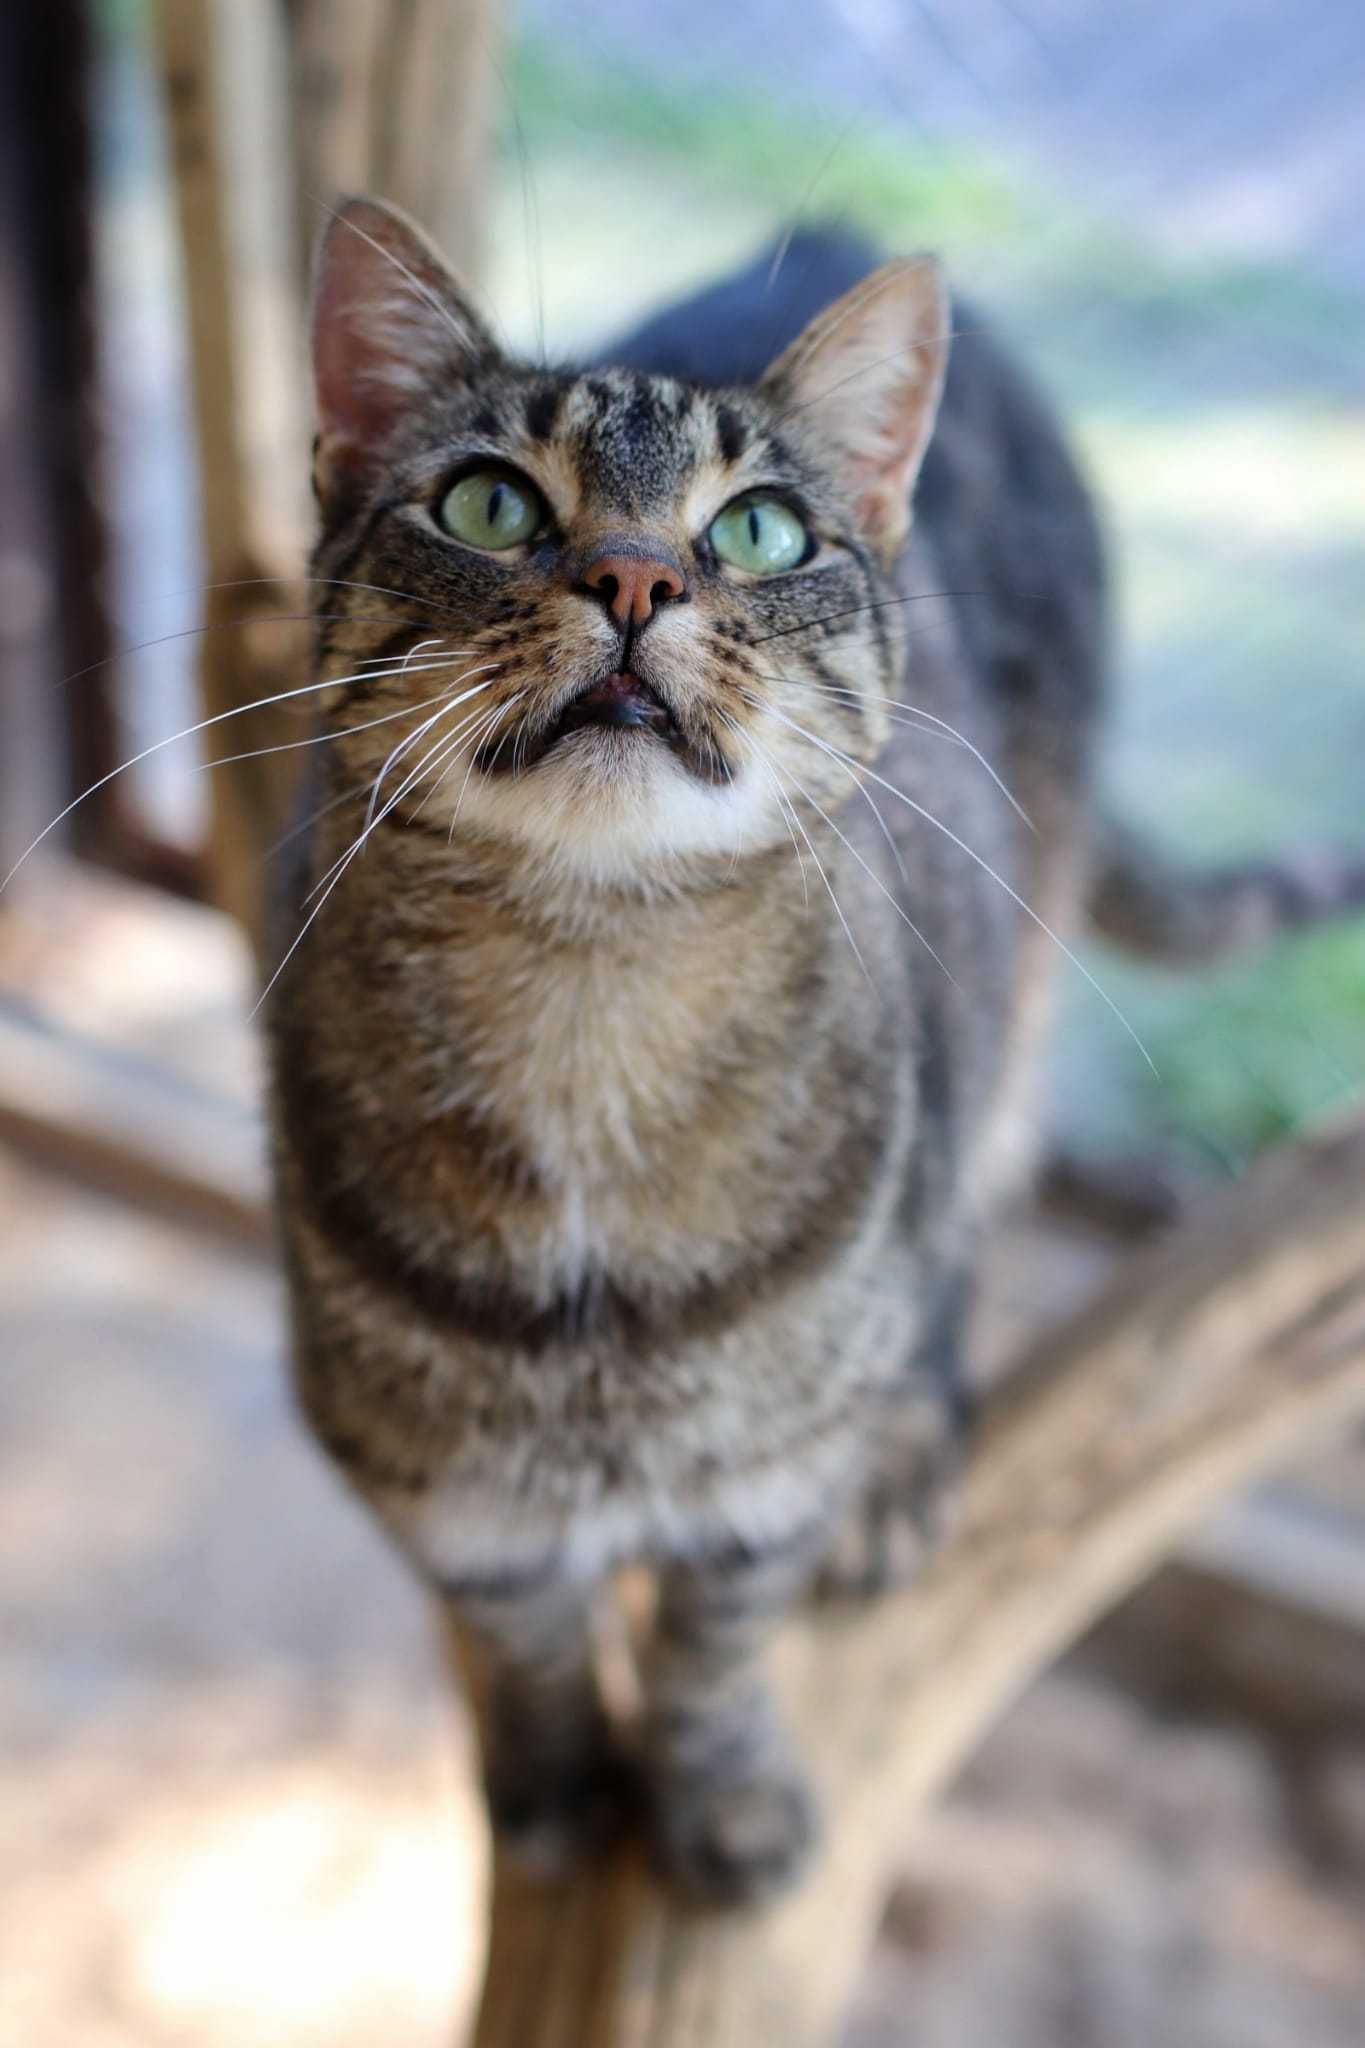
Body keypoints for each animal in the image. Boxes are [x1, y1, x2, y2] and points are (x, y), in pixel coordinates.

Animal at [263, 195, 1358, 1900]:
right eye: (490, 502)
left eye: (762, 531)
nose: (634, 577)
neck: (590, 997)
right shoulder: (430, 1486)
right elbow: (525, 1643)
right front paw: (549, 1784)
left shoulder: (761, 1498)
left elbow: (717, 1650)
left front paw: (721, 1799)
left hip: (998, 1012)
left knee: (972, 1211)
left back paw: (907, 1446)